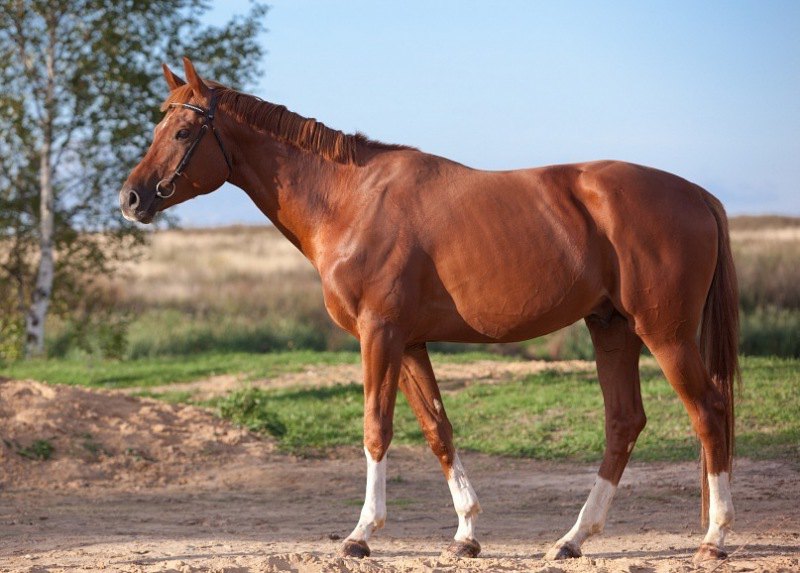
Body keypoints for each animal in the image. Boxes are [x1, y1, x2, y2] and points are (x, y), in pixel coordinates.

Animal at [119, 59, 736, 564]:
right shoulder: (410, 342)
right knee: (624, 422)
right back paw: (573, 539)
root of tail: (698, 193)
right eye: (157, 129)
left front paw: (362, 534)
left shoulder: (380, 334)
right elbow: (438, 429)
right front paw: (465, 534)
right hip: (611, 328)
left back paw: (714, 537)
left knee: (708, 412)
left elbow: (377, 428)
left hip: (664, 333)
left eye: (182, 131)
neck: (351, 201)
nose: (131, 199)